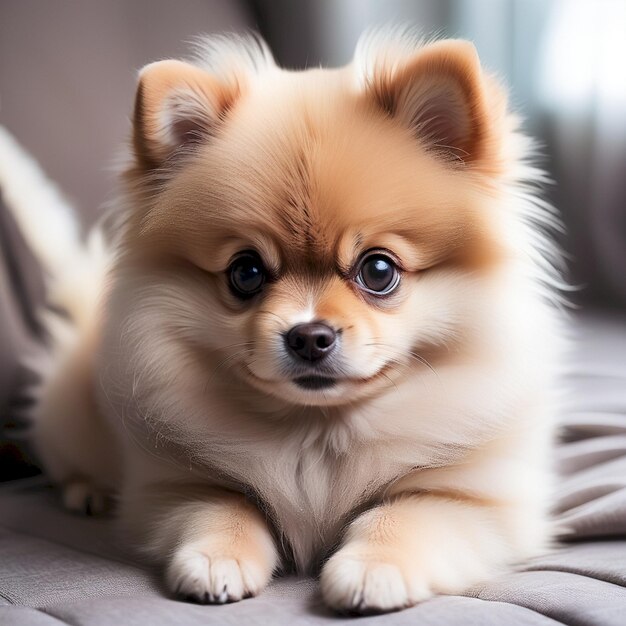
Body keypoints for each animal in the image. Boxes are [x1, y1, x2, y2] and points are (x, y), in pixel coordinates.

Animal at [9, 31, 564, 612]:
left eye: (379, 270)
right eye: (246, 272)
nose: (309, 335)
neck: (316, 433)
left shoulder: (478, 501)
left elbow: (403, 515)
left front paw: (373, 569)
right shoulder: (170, 487)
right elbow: (223, 506)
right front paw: (216, 559)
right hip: (70, 417)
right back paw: (87, 490)